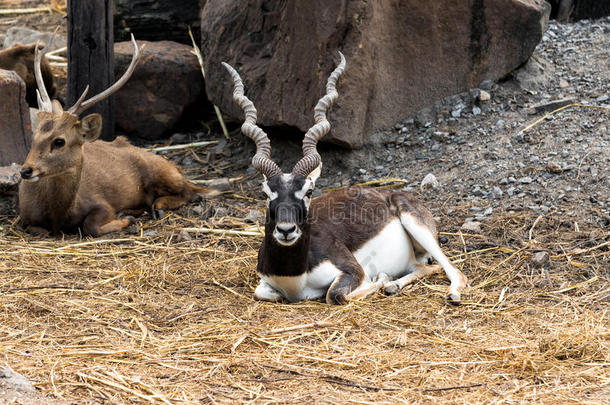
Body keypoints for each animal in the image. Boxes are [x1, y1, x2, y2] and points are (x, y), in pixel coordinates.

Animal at [17, 37, 213, 237]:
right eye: (34, 136)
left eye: (59, 141)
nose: (26, 171)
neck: (59, 215)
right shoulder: (24, 217)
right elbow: (40, 230)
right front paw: (127, 216)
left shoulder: (100, 202)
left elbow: (91, 226)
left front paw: (126, 219)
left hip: (163, 171)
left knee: (189, 191)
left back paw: (156, 206)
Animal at [221, 52, 468, 304]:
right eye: (266, 193)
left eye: (309, 191)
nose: (286, 230)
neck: (294, 275)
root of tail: (392, 193)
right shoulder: (265, 283)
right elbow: (262, 292)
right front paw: (385, 281)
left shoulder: (353, 270)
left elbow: (336, 294)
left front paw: (380, 279)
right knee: (422, 267)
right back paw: (393, 286)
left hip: (416, 225)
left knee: (451, 270)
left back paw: (450, 292)